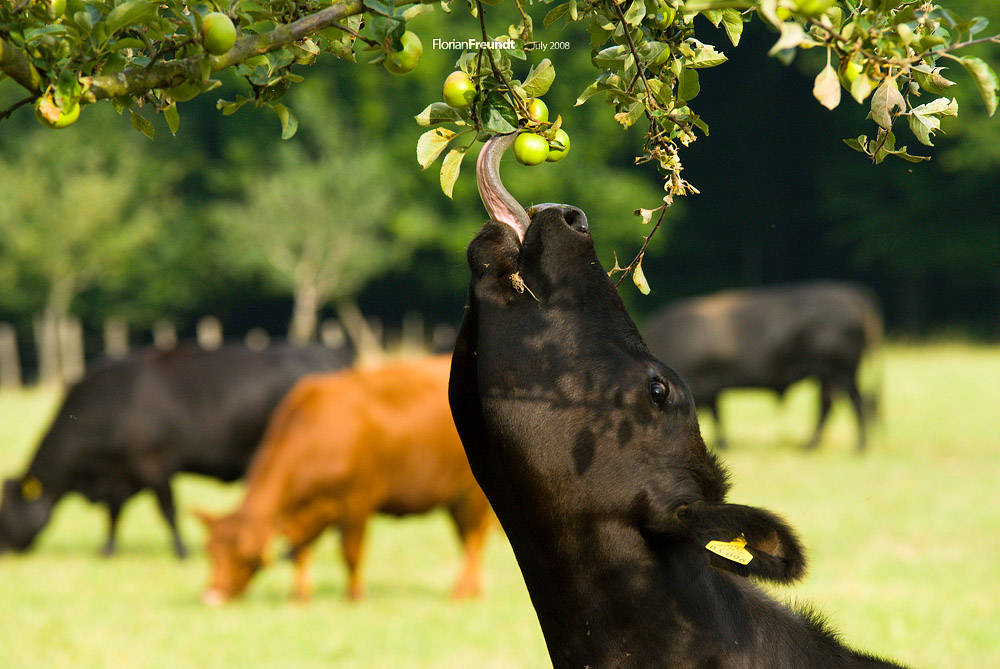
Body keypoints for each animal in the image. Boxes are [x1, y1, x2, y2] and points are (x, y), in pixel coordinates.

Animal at [0, 342, 352, 556]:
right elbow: (115, 512)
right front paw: (108, 550)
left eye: (7, 508)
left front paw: (182, 551)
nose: (4, 549)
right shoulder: (123, 473)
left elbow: (167, 510)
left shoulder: (153, 464)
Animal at [193, 354, 490, 604]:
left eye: (243, 555)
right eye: (210, 552)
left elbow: (351, 551)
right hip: (455, 497)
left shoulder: (358, 500)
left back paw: (462, 591)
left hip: (472, 493)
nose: (212, 597)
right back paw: (474, 589)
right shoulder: (309, 513)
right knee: (468, 540)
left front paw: (354, 595)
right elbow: (301, 550)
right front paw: (300, 595)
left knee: (473, 539)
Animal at [644, 280, 880, 452]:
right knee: (827, 405)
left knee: (856, 403)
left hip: (844, 372)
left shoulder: (708, 386)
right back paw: (810, 445)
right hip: (826, 375)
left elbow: (715, 415)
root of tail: (853, 300)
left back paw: (860, 447)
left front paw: (721, 444)